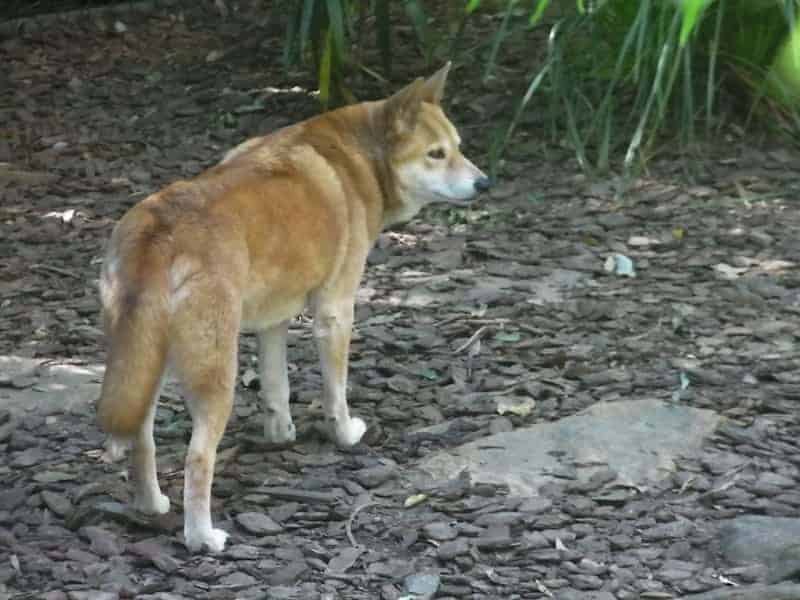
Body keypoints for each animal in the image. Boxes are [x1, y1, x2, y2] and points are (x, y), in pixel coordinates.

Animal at [96, 62, 491, 552]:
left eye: (458, 146)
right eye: (436, 154)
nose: (485, 182)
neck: (356, 158)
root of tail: (159, 231)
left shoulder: (274, 320)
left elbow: (275, 388)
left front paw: (281, 435)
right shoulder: (336, 309)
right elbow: (335, 392)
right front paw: (345, 435)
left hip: (144, 361)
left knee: (140, 437)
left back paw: (151, 506)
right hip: (214, 372)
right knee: (198, 458)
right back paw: (202, 537)